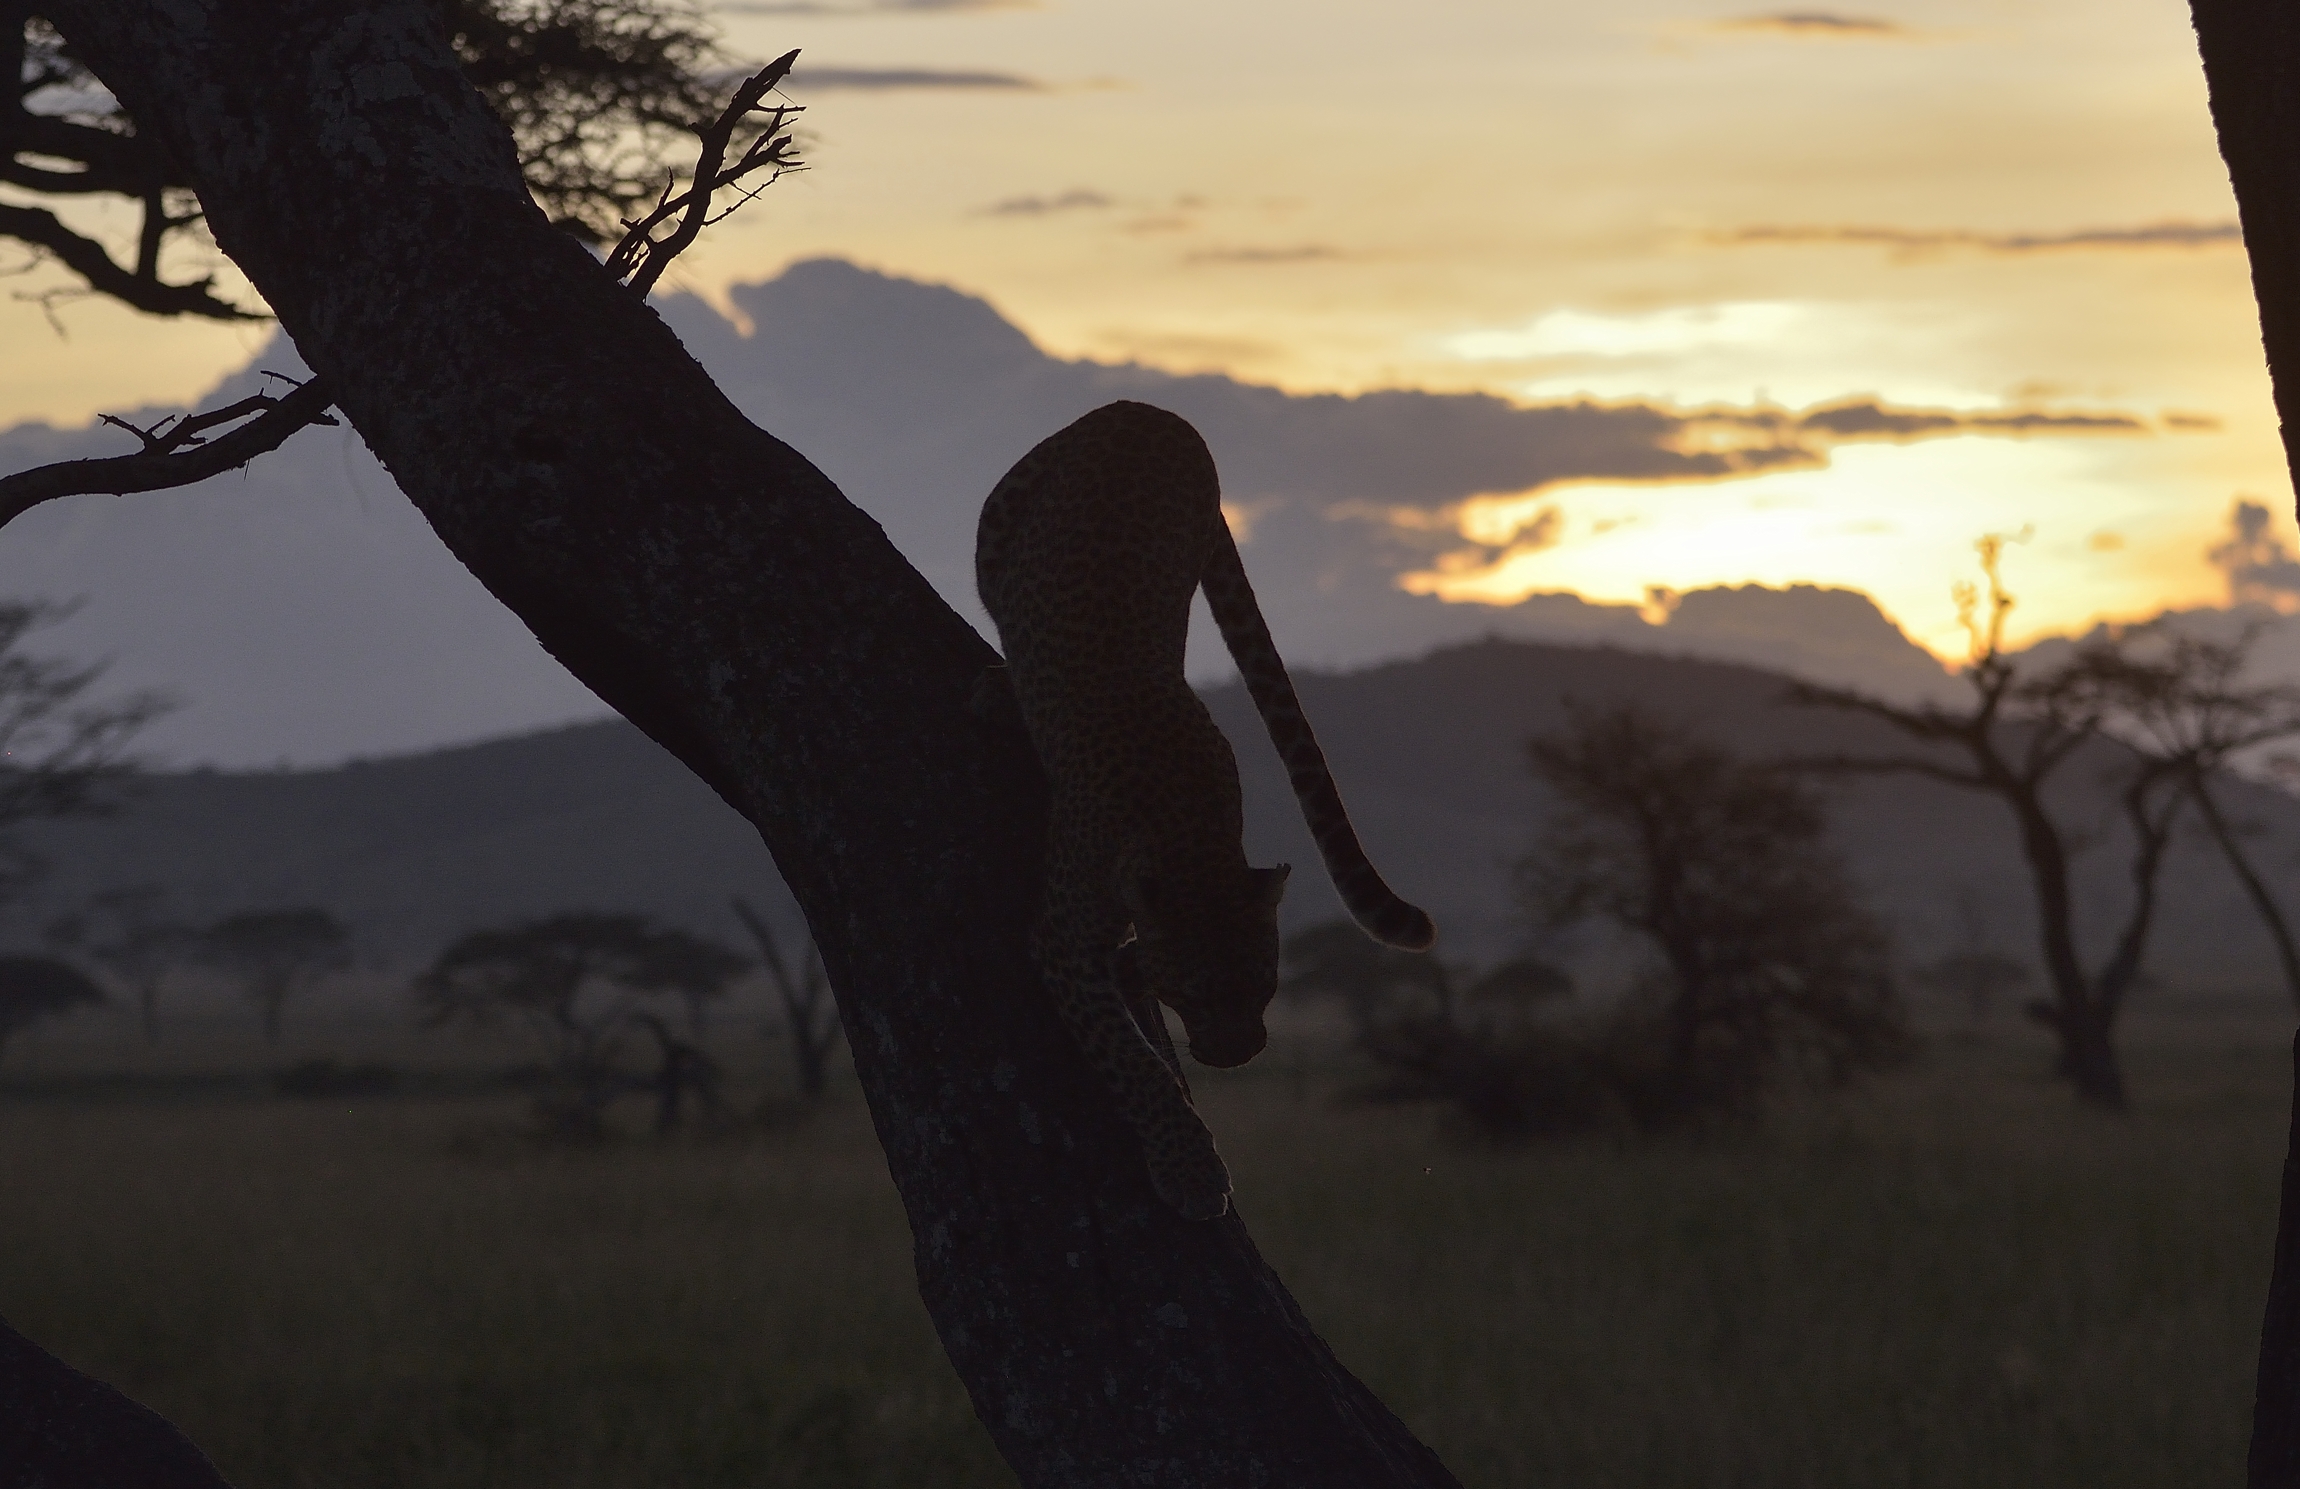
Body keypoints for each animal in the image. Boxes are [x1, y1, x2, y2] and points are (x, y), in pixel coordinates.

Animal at [976, 399, 1435, 1219]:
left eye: (1264, 985)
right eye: (1194, 991)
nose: (1238, 1053)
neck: (1188, 833)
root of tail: (1156, 411)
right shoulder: (1061, 937)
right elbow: (1131, 1061)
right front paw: (1190, 1167)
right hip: (1001, 513)